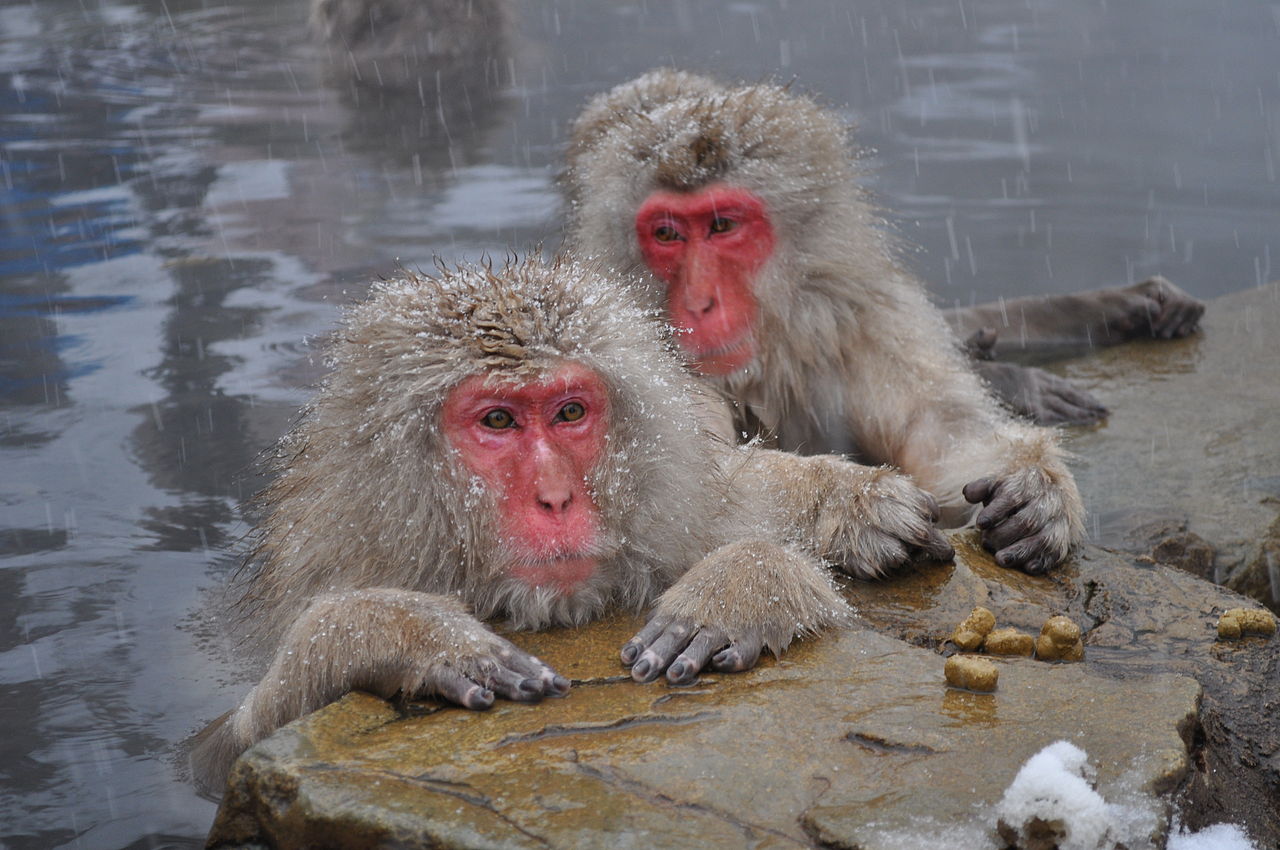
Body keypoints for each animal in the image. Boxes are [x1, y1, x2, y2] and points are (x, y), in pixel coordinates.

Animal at [189, 257, 952, 788]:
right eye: (498, 420)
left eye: (569, 413)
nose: (555, 497)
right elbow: (218, 750)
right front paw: (402, 634)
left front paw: (757, 573)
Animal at [560, 69, 1090, 578]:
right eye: (667, 234)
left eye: (722, 226)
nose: (699, 301)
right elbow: (681, 488)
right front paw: (851, 502)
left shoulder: (858, 318)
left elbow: (939, 425)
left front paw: (1035, 486)